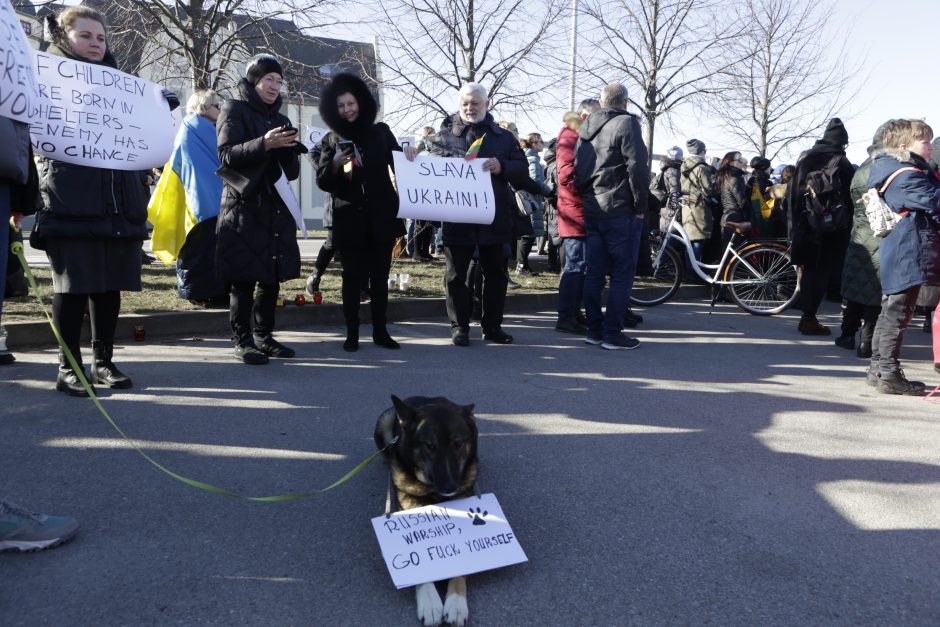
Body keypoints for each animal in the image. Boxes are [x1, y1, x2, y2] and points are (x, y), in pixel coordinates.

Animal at [374, 394, 478, 624]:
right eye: (430, 446)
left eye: (458, 444)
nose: (450, 488)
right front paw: (430, 602)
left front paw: (456, 602)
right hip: (384, 420)